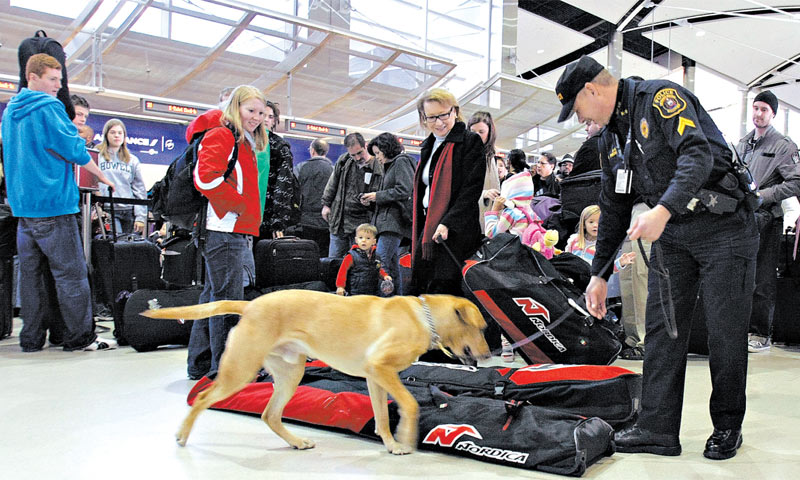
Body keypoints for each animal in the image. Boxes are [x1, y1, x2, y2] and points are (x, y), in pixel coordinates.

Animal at [142, 290, 488, 456]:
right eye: (483, 328)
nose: (487, 354)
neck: (424, 317)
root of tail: (250, 305)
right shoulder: (380, 368)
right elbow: (411, 404)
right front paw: (405, 436)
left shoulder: (375, 376)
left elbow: (381, 417)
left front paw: (391, 444)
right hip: (240, 370)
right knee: (202, 397)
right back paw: (183, 434)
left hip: (290, 373)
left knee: (270, 414)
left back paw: (296, 442)